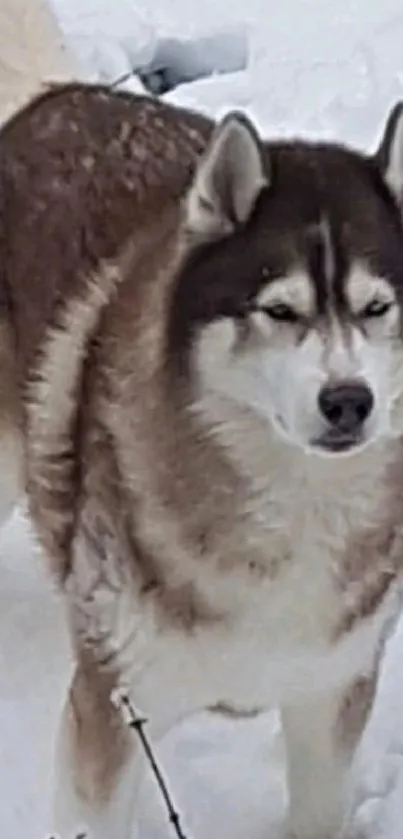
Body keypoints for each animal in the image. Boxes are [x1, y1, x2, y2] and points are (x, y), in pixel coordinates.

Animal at [2, 82, 403, 836]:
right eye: (279, 310)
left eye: (377, 307)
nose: (349, 401)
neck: (292, 510)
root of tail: (51, 99)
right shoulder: (113, 706)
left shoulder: (331, 691)